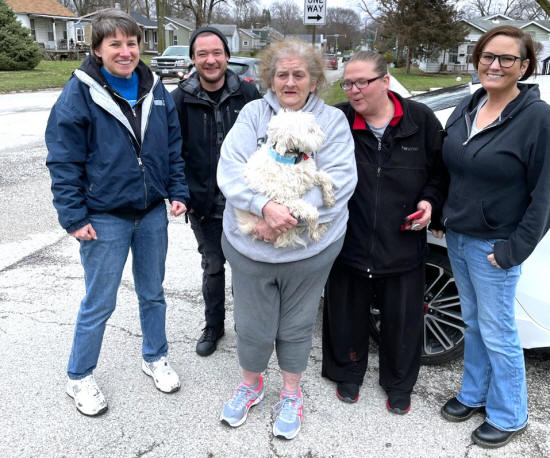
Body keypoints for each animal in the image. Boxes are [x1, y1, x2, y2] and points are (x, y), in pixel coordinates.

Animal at [235, 110, 335, 248]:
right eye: (310, 130)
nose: (321, 130)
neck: (290, 159)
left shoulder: (308, 177)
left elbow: (325, 177)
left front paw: (329, 199)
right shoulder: (287, 199)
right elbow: (313, 213)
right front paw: (313, 231)